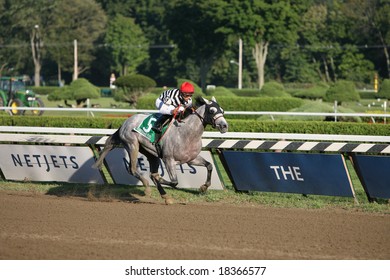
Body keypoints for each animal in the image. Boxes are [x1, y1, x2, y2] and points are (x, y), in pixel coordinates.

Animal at [95, 95, 229, 203]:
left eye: (222, 110)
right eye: (212, 110)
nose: (224, 126)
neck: (187, 133)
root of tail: (126, 122)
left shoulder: (191, 159)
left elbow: (209, 165)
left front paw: (204, 187)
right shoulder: (168, 159)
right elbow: (174, 182)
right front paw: (159, 177)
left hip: (151, 153)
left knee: (149, 172)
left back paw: (165, 196)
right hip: (132, 145)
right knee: (132, 169)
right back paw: (148, 187)